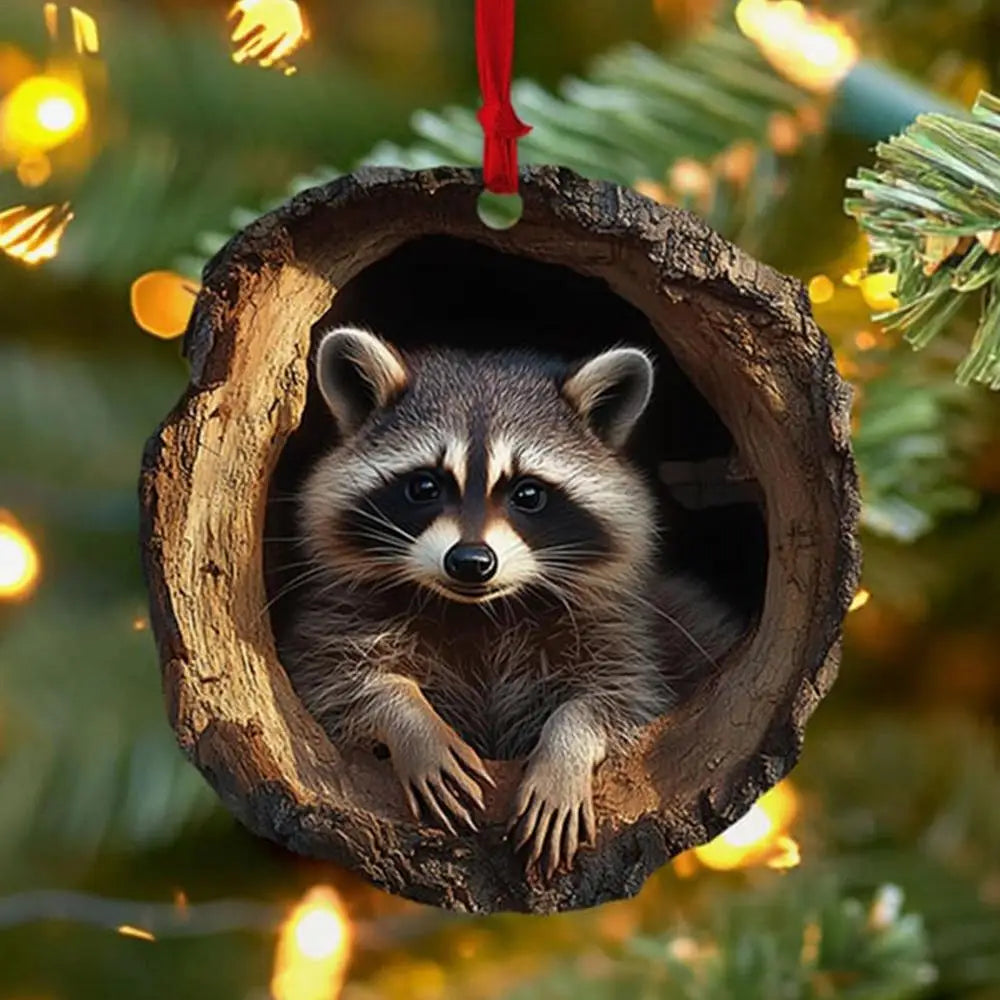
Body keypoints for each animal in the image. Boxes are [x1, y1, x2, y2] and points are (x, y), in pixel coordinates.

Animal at [278, 325, 744, 878]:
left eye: (527, 494)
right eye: (424, 486)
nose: (471, 561)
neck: (480, 609)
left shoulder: (619, 627)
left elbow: (620, 699)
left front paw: (566, 749)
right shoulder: (340, 614)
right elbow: (333, 679)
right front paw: (409, 719)